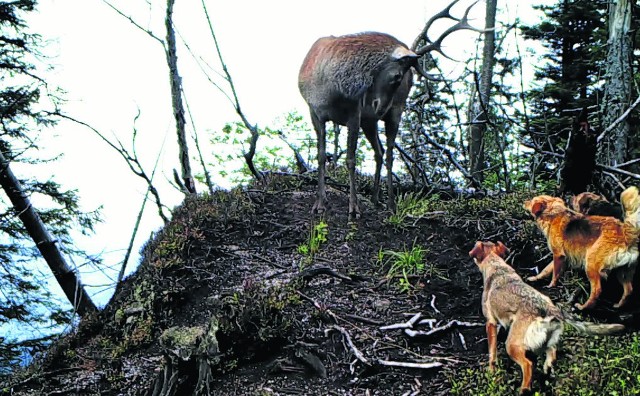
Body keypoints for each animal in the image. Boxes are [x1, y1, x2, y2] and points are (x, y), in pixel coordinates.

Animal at [300, 0, 484, 221]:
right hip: (369, 122)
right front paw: (319, 204)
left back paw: (390, 203)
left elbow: (351, 159)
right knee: (378, 152)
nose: (379, 108)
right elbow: (320, 156)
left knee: (388, 153)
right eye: (396, 76)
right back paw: (375, 198)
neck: (329, 90)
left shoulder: (354, 113)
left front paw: (354, 208)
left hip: (394, 112)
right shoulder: (315, 112)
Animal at [470, 240, 624, 394]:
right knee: (552, 354)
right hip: (546, 339)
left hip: (512, 345)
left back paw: (524, 389)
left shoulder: (490, 323)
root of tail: (547, 306)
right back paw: (547, 370)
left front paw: (491, 371)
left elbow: (492, 352)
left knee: (528, 365)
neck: (496, 265)